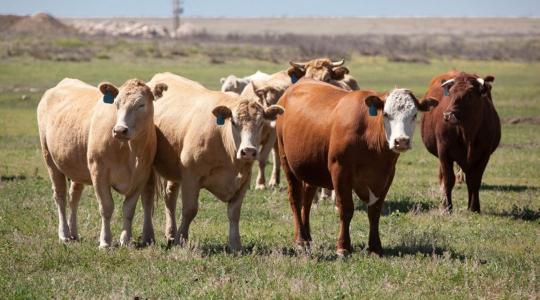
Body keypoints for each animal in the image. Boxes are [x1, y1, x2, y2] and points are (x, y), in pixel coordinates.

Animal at [37, 78, 167, 248]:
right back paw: (64, 234)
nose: (119, 130)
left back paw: (74, 234)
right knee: (60, 196)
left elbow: (129, 209)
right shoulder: (99, 172)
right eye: (116, 104)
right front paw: (105, 241)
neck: (130, 151)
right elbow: (106, 207)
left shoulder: (141, 176)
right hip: (50, 160)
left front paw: (126, 240)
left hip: (77, 167)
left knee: (74, 197)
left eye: (141, 104)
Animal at [146, 72, 284, 251]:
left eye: (261, 123)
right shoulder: (191, 177)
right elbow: (190, 210)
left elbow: (234, 213)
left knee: (170, 197)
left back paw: (170, 233)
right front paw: (181, 240)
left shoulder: (244, 179)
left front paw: (235, 244)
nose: (248, 151)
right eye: (234, 122)